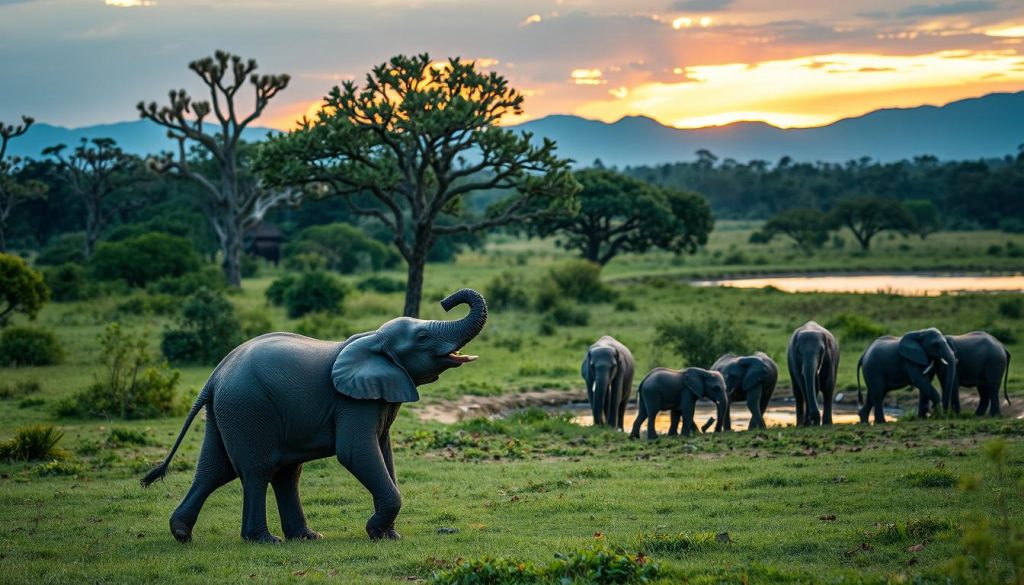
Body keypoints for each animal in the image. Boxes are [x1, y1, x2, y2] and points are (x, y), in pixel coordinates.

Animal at [140, 288, 487, 544]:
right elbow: (356, 452)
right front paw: (377, 533)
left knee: (224, 470)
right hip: (248, 408)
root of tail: (215, 375)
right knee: (257, 470)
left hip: (227, 412)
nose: (445, 301)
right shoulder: (352, 402)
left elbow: (384, 455)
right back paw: (264, 540)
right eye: (423, 337)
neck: (373, 338)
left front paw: (389, 535)